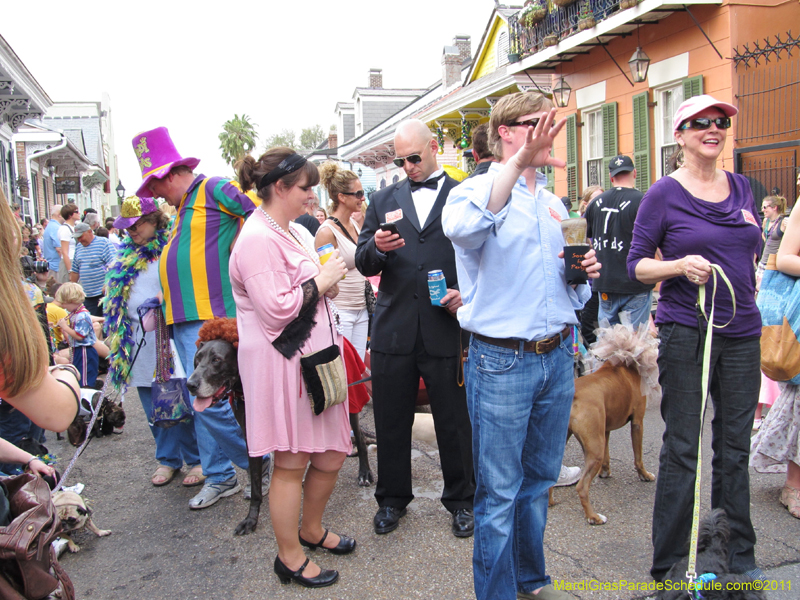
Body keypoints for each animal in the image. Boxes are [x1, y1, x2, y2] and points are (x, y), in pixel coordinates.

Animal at [552, 322, 660, 524]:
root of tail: (574, 393)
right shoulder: (638, 423)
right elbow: (638, 457)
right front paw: (645, 475)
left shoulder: (606, 430)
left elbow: (608, 455)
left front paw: (605, 472)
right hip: (595, 449)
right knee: (582, 487)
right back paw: (593, 517)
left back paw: (550, 503)